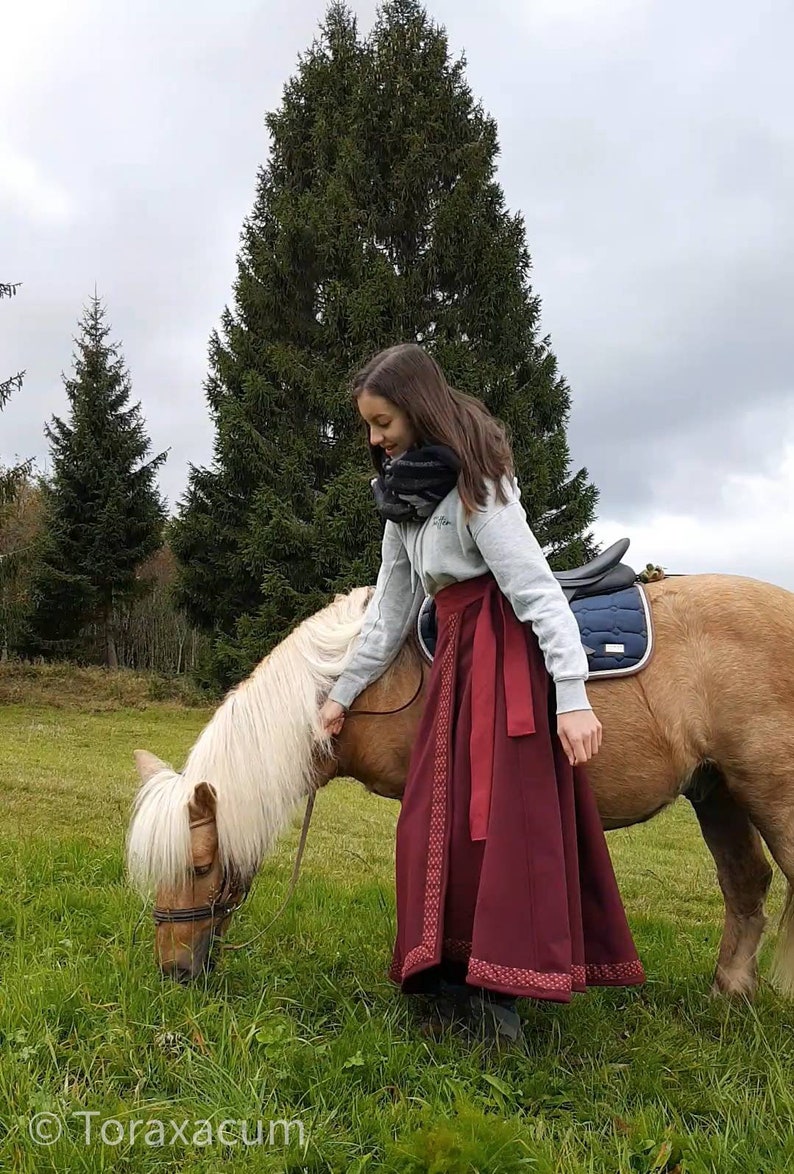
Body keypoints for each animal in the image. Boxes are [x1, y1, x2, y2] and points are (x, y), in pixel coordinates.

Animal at [123, 540, 794, 1000]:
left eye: (200, 866)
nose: (173, 970)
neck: (365, 678)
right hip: (717, 793)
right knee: (747, 884)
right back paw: (730, 993)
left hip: (770, 795)